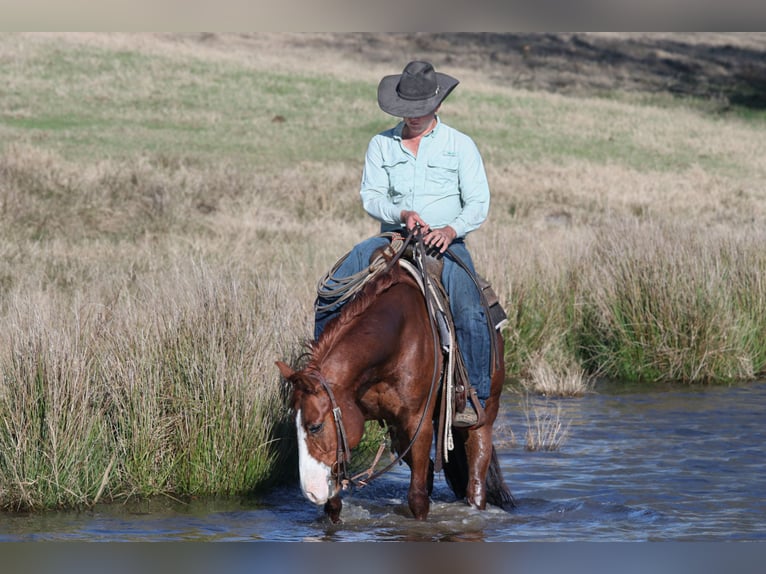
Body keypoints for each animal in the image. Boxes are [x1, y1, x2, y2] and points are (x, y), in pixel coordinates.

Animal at [276, 264, 516, 524]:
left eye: (315, 427)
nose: (310, 491)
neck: (396, 338)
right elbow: (333, 505)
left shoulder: (418, 423)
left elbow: (418, 499)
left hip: (484, 414)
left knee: (476, 482)